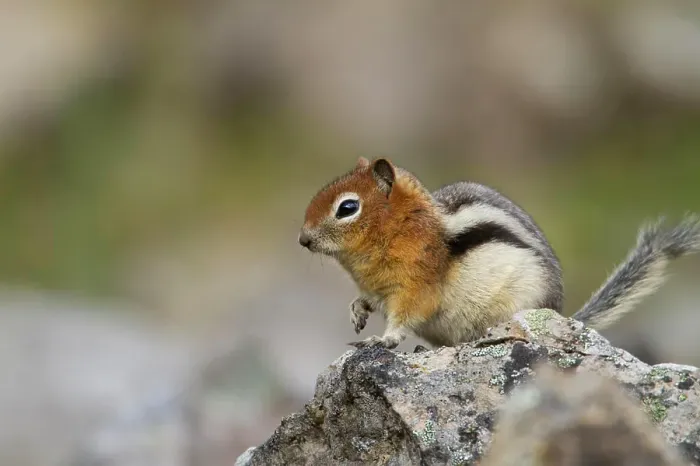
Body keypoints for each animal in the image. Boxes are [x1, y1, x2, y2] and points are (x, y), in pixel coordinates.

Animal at [298, 157, 700, 349]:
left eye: (347, 208)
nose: (302, 240)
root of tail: (564, 316)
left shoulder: (417, 286)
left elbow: (406, 315)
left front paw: (385, 338)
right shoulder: (377, 288)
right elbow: (367, 300)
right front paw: (357, 312)